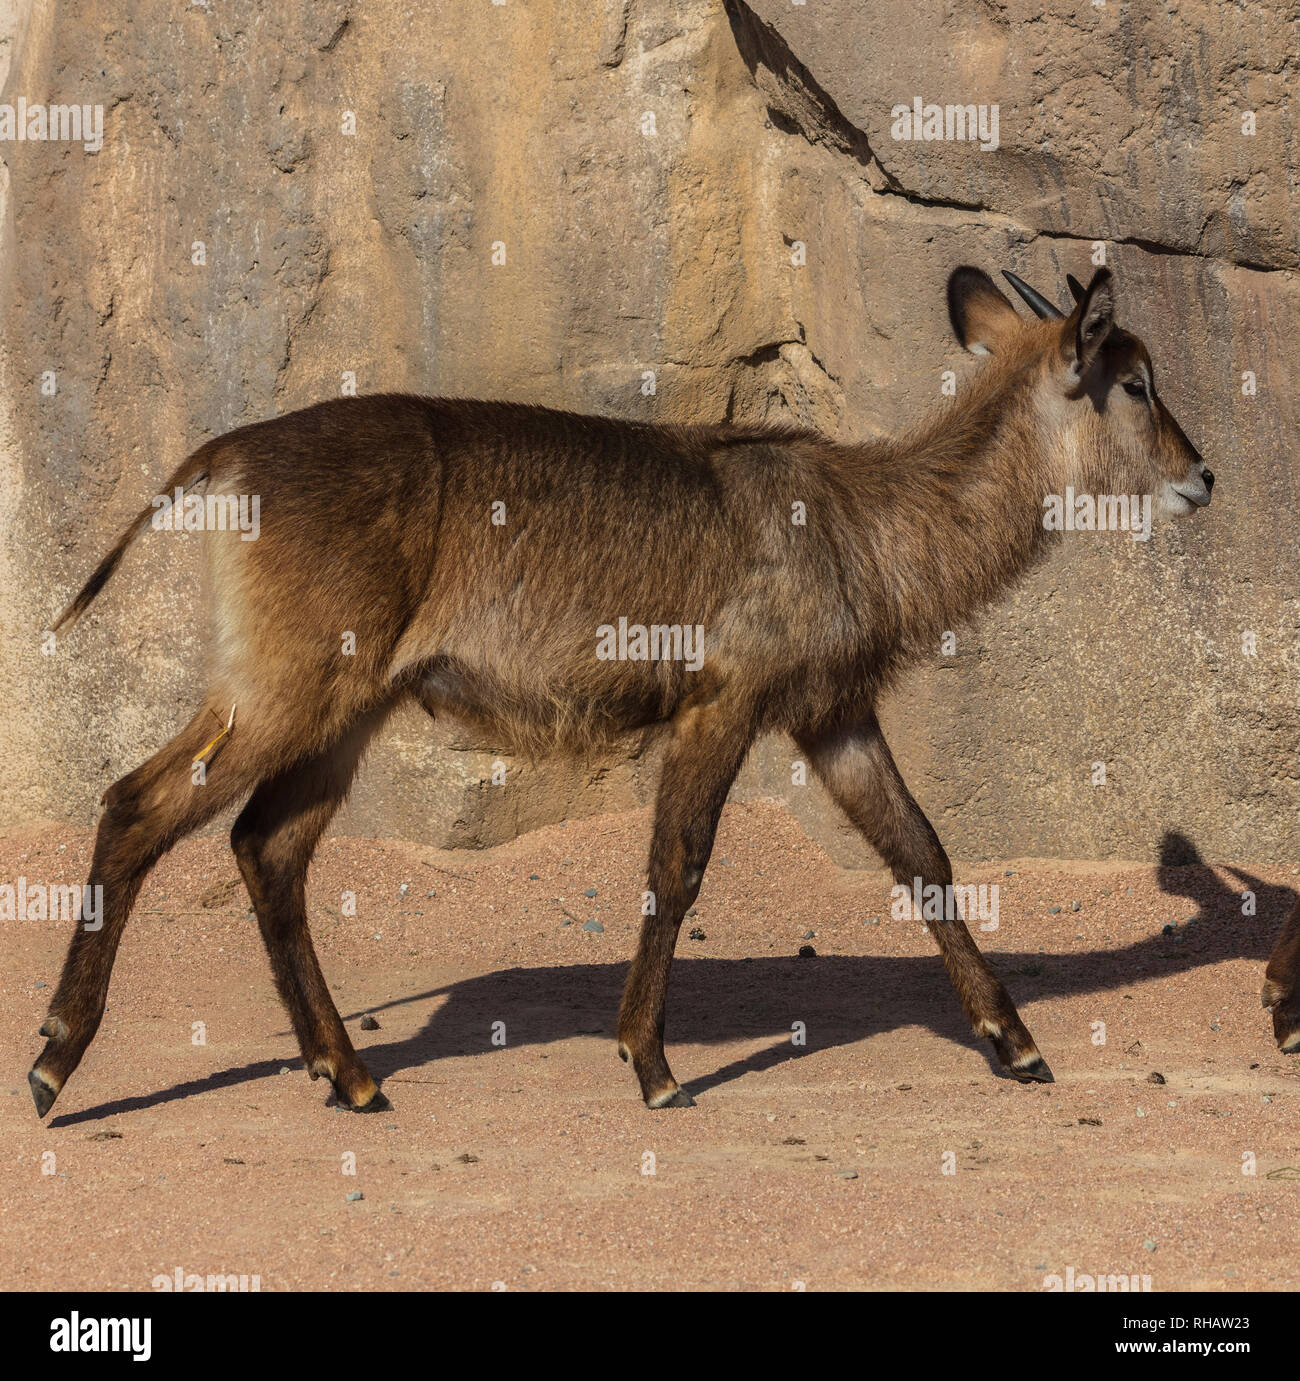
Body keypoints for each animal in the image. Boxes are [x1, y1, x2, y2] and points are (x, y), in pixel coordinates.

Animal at [27, 263, 1215, 1115]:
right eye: (1138, 381)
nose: (1202, 475)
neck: (865, 517)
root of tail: (223, 454)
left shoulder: (831, 714)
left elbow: (921, 853)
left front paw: (1016, 1042)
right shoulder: (724, 702)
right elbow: (676, 865)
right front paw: (651, 1063)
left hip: (340, 709)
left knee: (266, 846)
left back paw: (351, 1076)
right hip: (287, 688)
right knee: (135, 805)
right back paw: (54, 1063)